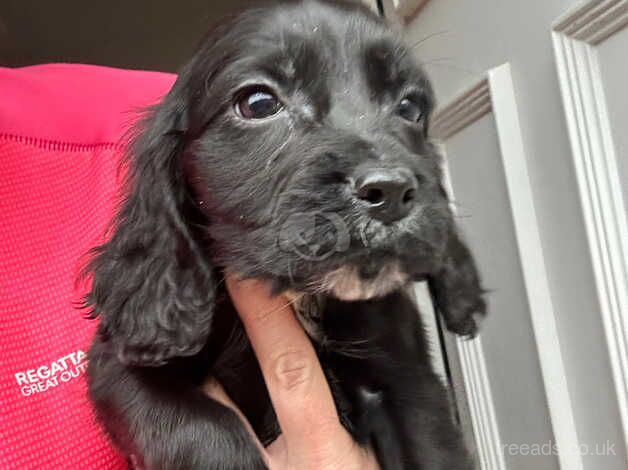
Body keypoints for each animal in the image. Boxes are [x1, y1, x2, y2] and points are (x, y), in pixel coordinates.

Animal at [83, 1, 486, 468]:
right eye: (258, 104)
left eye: (410, 107)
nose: (390, 191)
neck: (301, 297)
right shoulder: (120, 368)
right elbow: (204, 429)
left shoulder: (413, 389)